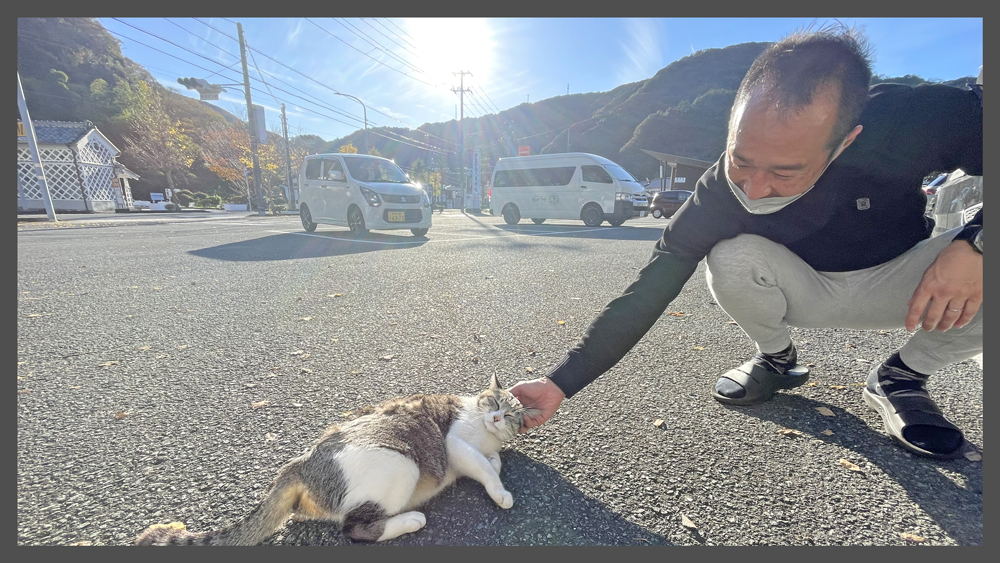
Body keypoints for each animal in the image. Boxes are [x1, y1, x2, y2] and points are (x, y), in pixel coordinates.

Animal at [139, 374, 540, 548]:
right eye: (494, 403)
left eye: (510, 414)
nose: (496, 418)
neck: (484, 433)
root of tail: (301, 462)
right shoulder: (455, 443)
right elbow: (485, 467)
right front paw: (500, 491)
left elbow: (493, 460)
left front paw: (497, 464)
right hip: (402, 462)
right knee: (355, 529)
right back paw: (411, 519)